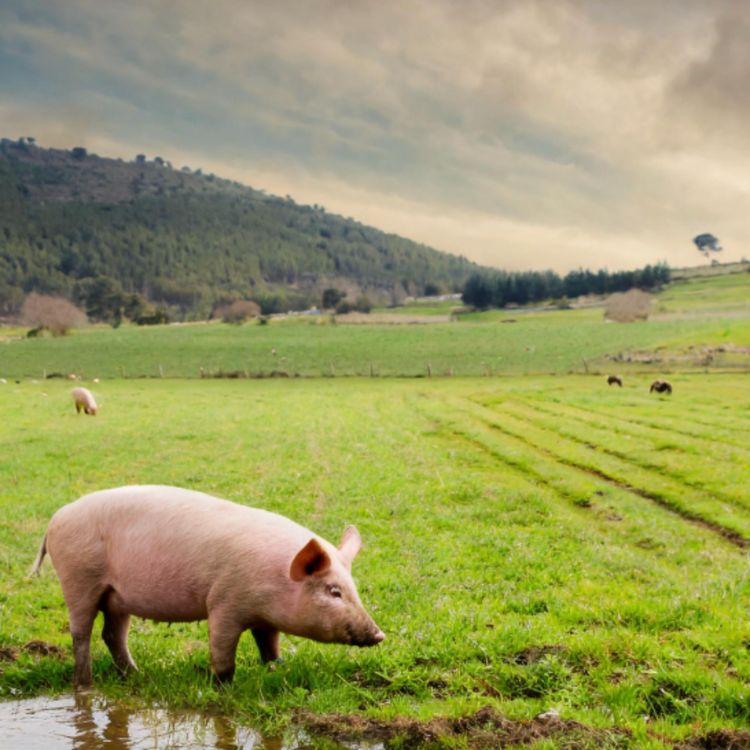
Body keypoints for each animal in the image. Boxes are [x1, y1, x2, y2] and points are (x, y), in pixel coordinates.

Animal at [30, 485, 384, 687]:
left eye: (353, 588)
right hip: (78, 579)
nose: (378, 634)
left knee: (112, 634)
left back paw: (136, 675)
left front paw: (277, 668)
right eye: (333, 591)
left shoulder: (264, 617)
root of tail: (55, 518)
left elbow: (270, 645)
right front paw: (223, 687)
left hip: (116, 596)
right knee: (81, 633)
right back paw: (84, 685)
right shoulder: (224, 602)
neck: (277, 579)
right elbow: (223, 649)